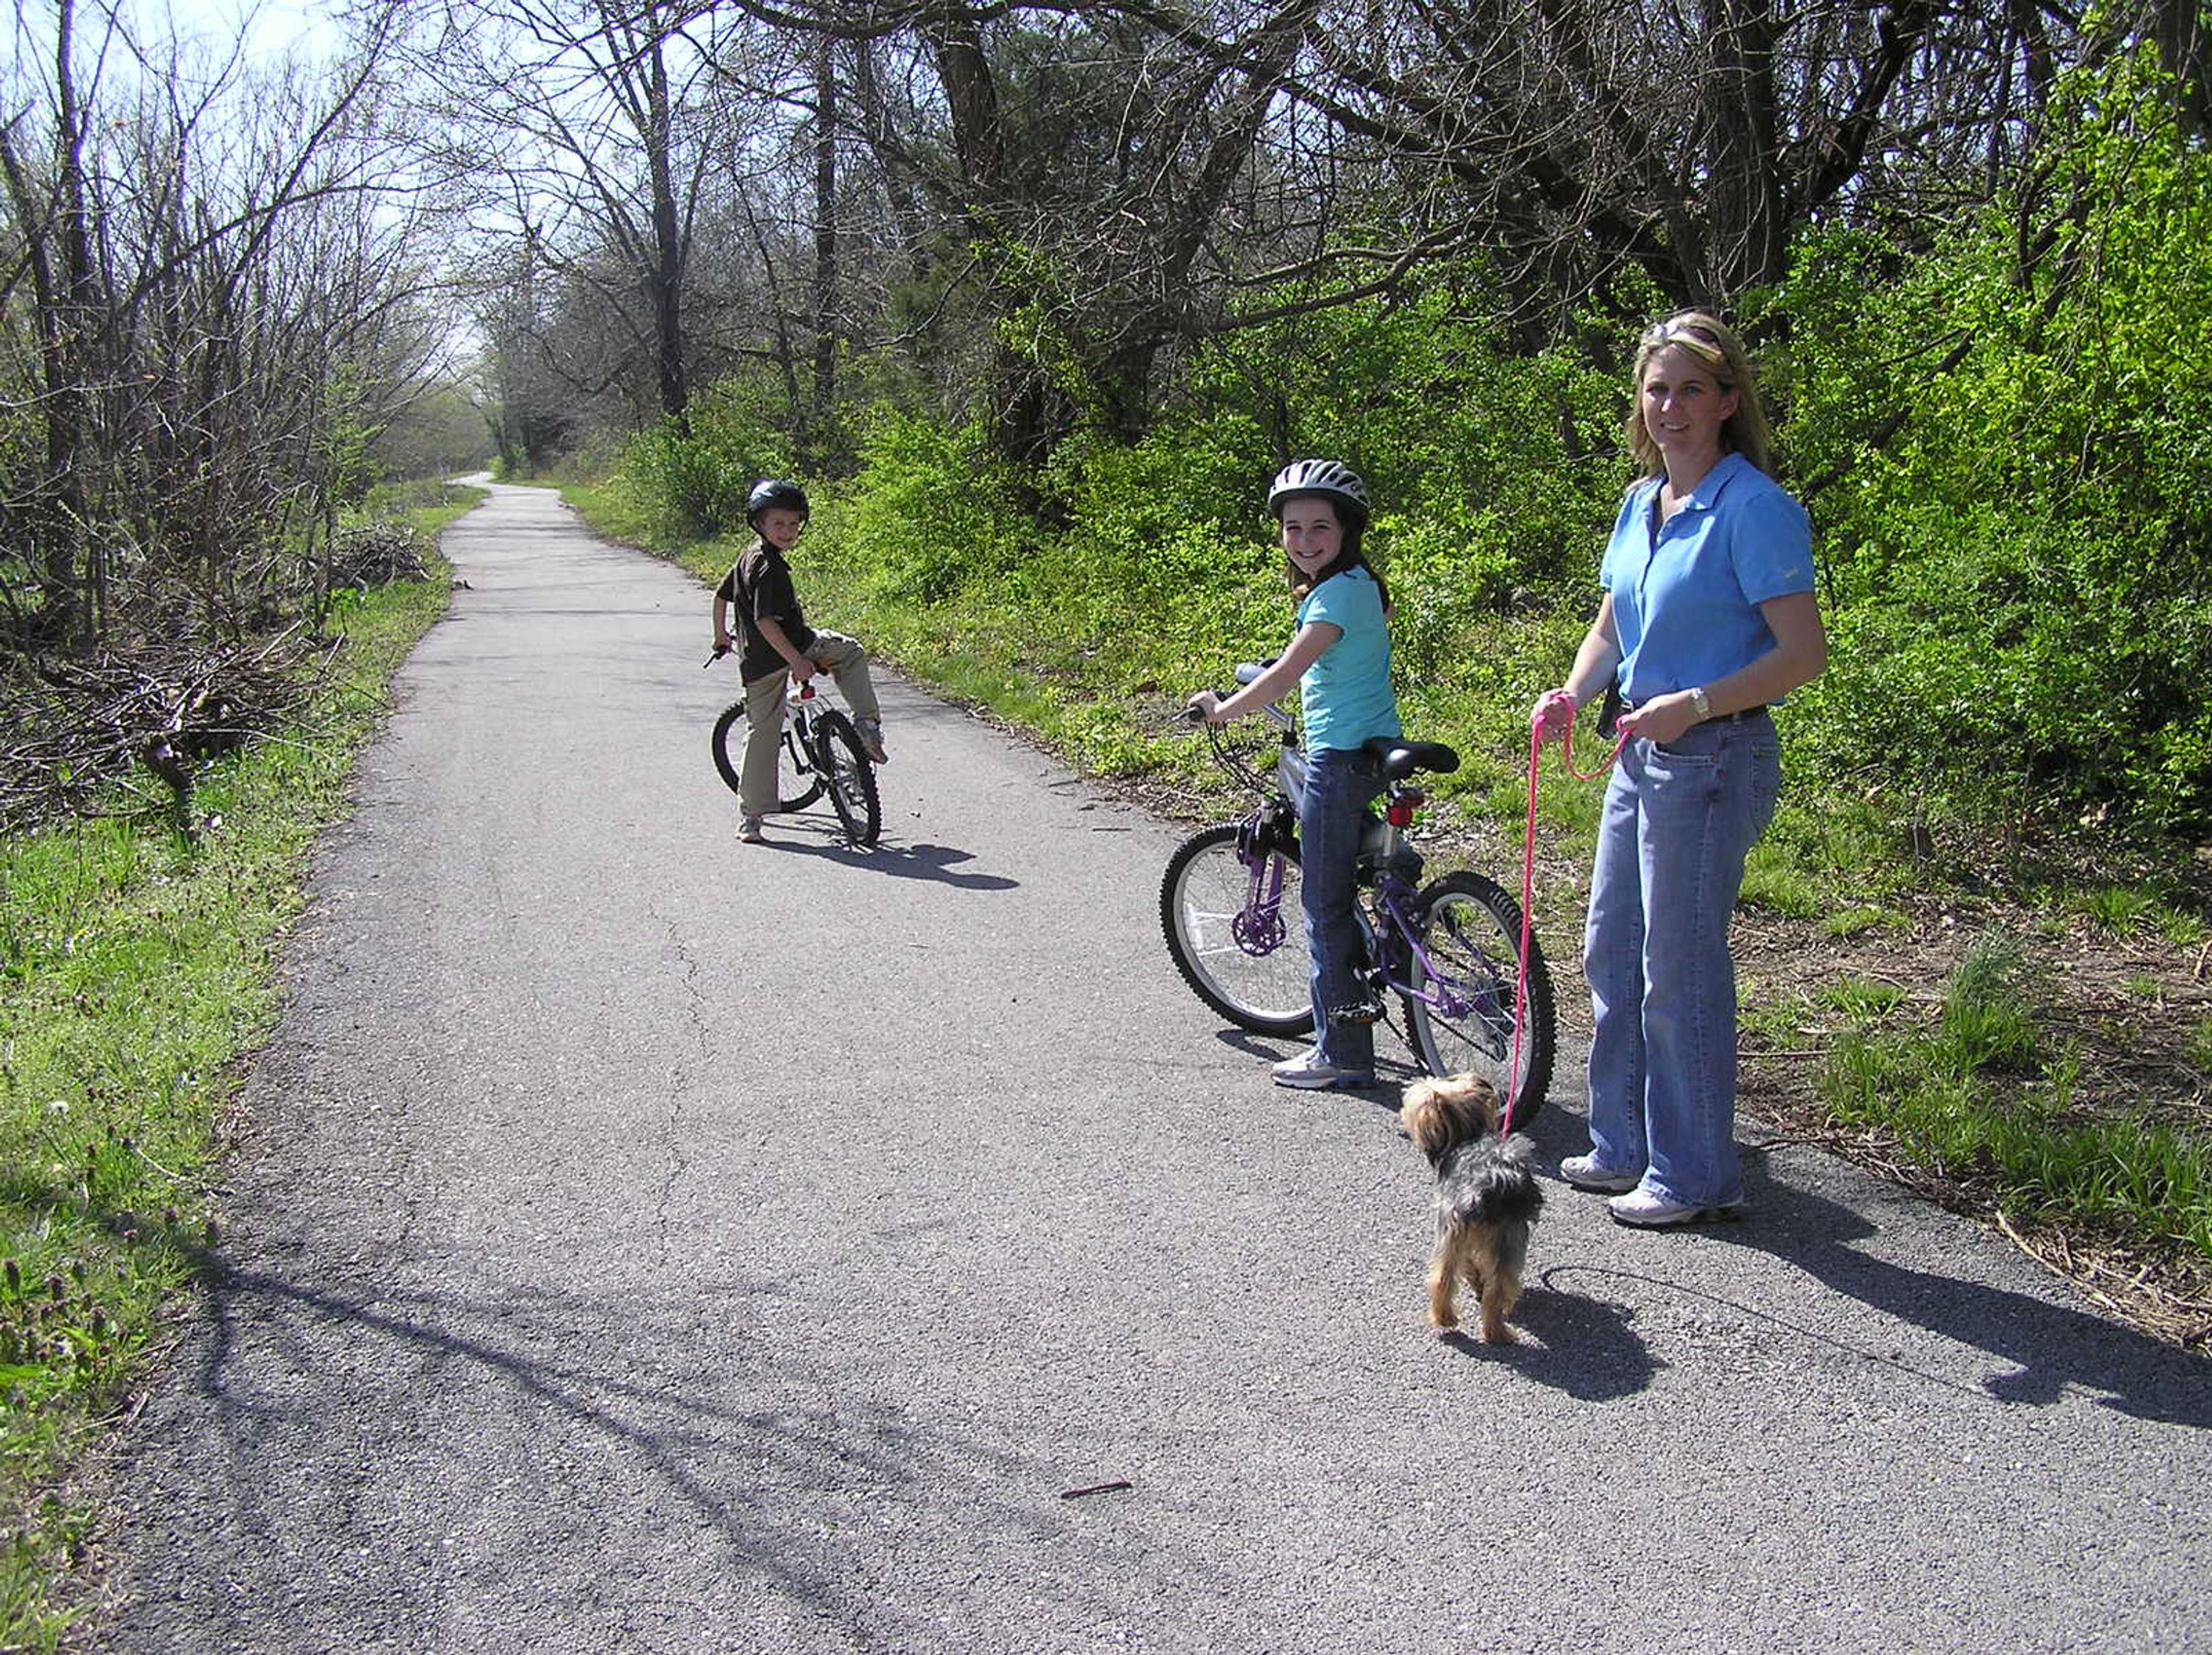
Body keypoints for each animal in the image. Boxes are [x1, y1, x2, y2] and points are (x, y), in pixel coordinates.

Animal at [1407, 1075, 1548, 1345]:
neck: (1468, 1135)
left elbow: (1468, 1265)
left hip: (1453, 1232)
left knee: (1443, 1276)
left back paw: (1444, 1318)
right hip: (1510, 1237)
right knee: (1500, 1286)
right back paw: (1498, 1332)